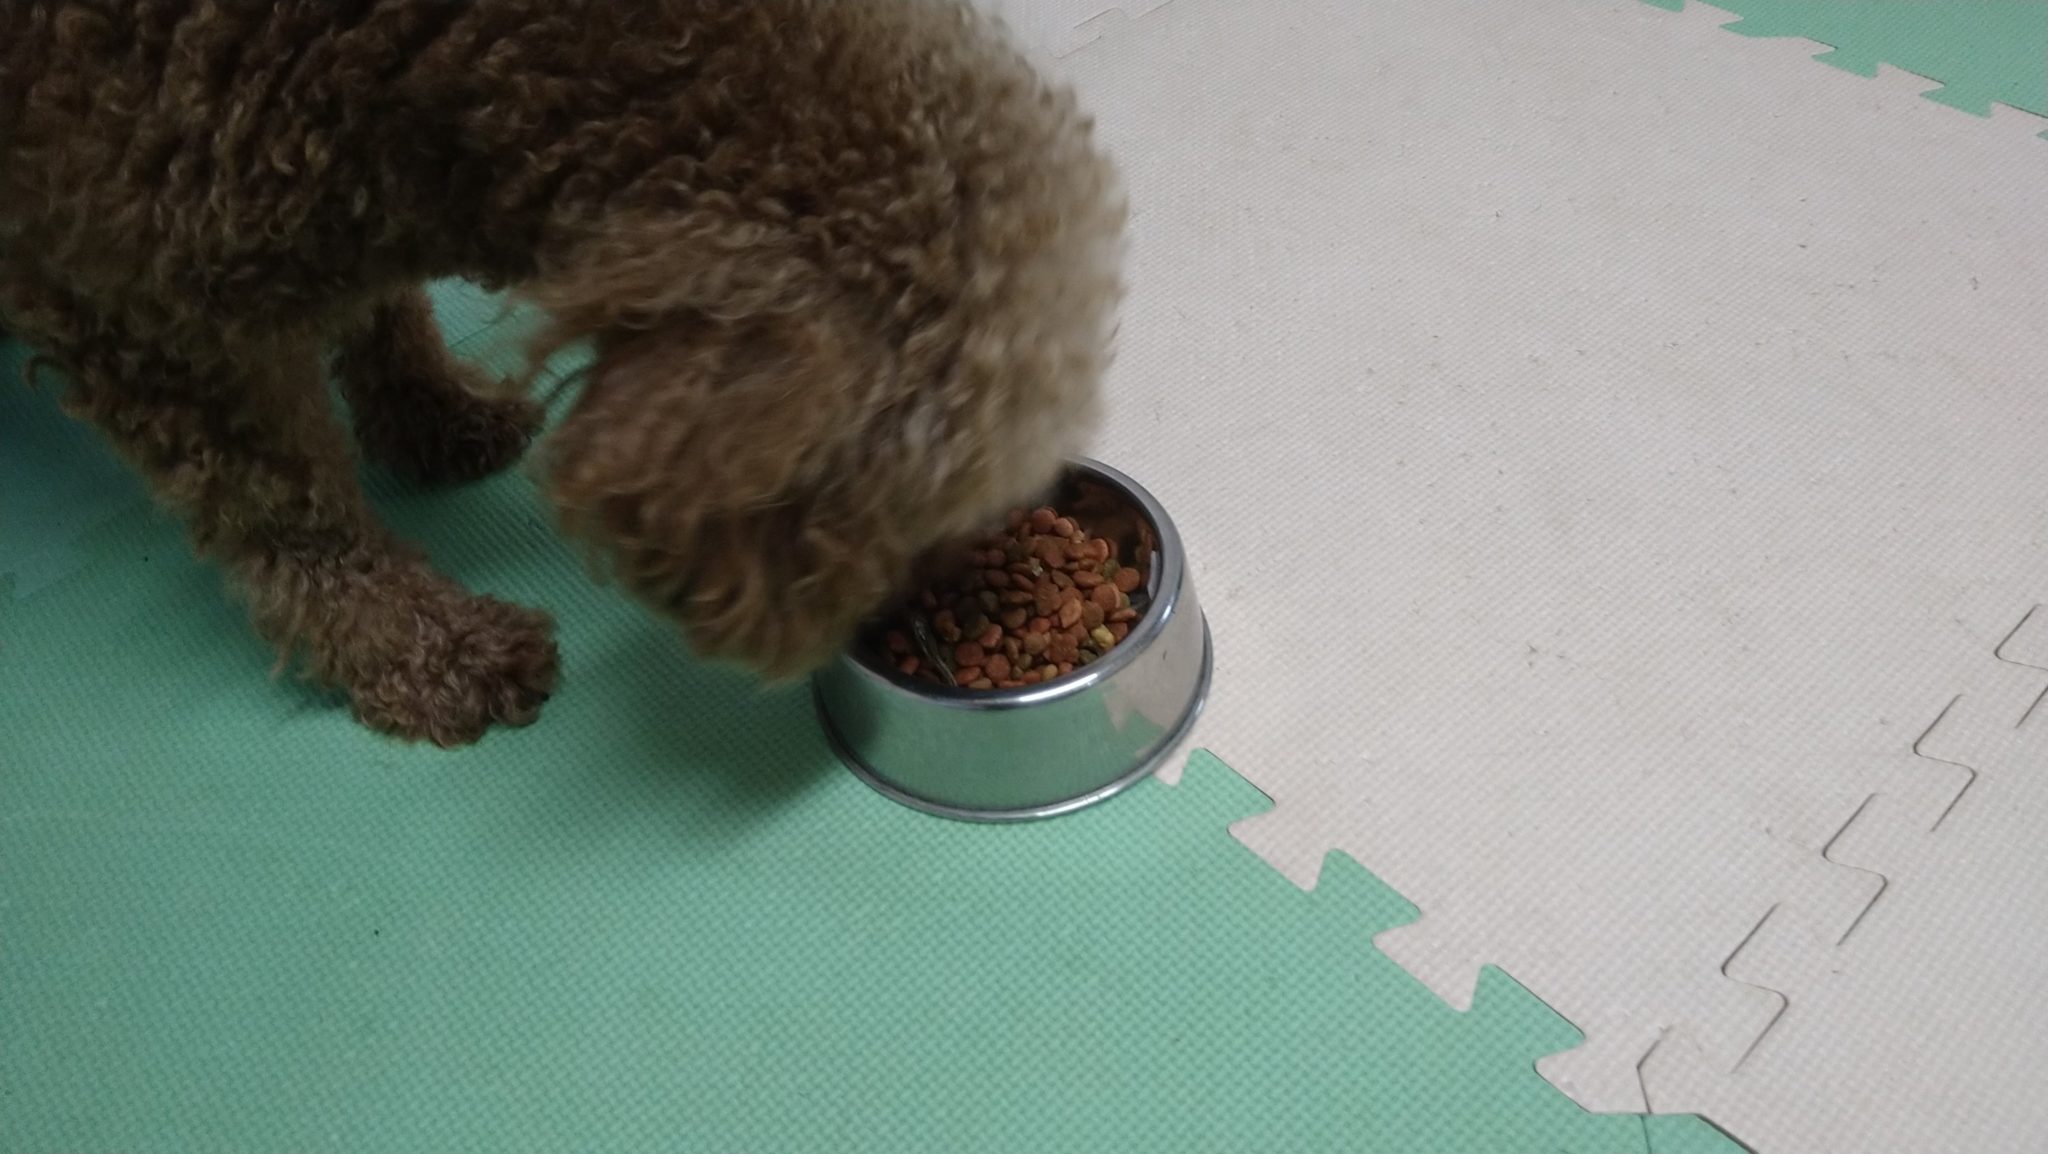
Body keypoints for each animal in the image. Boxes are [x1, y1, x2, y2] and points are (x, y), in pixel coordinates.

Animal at [0, 1, 1124, 745]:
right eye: (920, 512)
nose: (936, 624)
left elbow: (381, 311)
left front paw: (431, 413)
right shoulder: (126, 295)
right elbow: (292, 514)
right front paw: (417, 646)